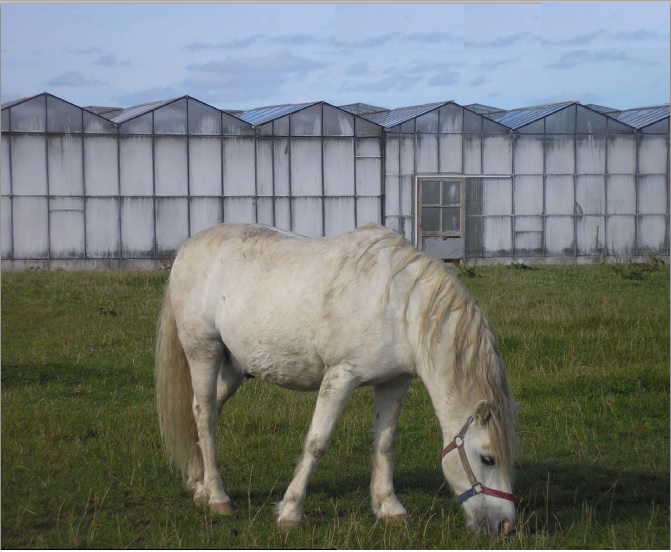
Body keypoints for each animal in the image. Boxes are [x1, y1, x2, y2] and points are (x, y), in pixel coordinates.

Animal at [156, 221, 520, 536]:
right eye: (488, 458)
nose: (505, 527)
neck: (399, 309)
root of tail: (188, 247)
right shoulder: (341, 376)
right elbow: (317, 442)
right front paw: (290, 511)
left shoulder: (394, 382)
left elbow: (386, 443)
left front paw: (389, 507)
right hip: (203, 351)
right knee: (205, 414)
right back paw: (218, 497)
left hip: (232, 368)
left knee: (201, 412)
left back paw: (199, 485)